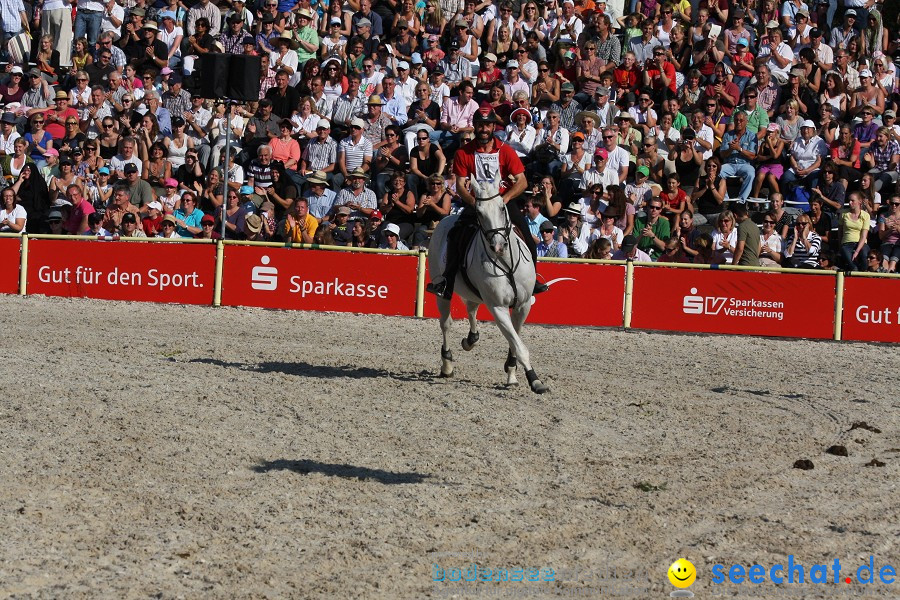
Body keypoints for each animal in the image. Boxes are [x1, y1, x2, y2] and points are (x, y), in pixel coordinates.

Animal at [428, 173, 548, 394]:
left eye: (502, 207)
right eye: (479, 212)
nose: (498, 246)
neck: (506, 263)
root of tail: (446, 218)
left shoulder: (523, 305)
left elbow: (515, 339)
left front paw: (511, 374)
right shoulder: (498, 307)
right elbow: (519, 345)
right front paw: (535, 381)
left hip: (473, 292)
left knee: (471, 309)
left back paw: (470, 340)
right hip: (442, 290)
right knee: (446, 324)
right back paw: (447, 365)